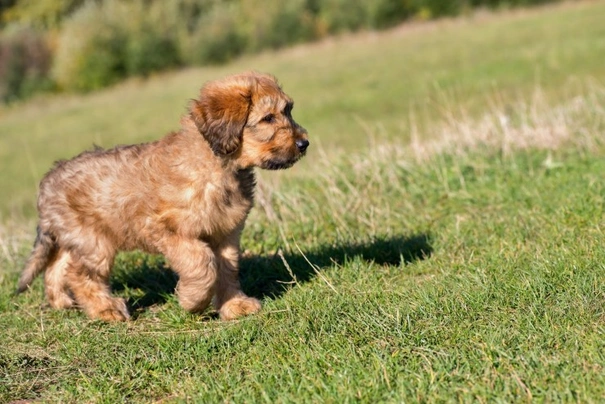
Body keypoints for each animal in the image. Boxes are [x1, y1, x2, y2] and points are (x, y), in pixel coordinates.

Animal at [16, 71, 310, 320]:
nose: (304, 143)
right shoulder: (166, 229)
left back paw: (62, 302)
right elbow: (203, 264)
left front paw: (234, 305)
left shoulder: (226, 232)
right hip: (94, 241)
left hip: (77, 238)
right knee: (80, 274)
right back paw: (106, 310)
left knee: (59, 266)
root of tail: (49, 180)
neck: (216, 165)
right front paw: (193, 301)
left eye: (288, 110)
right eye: (268, 118)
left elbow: (227, 269)